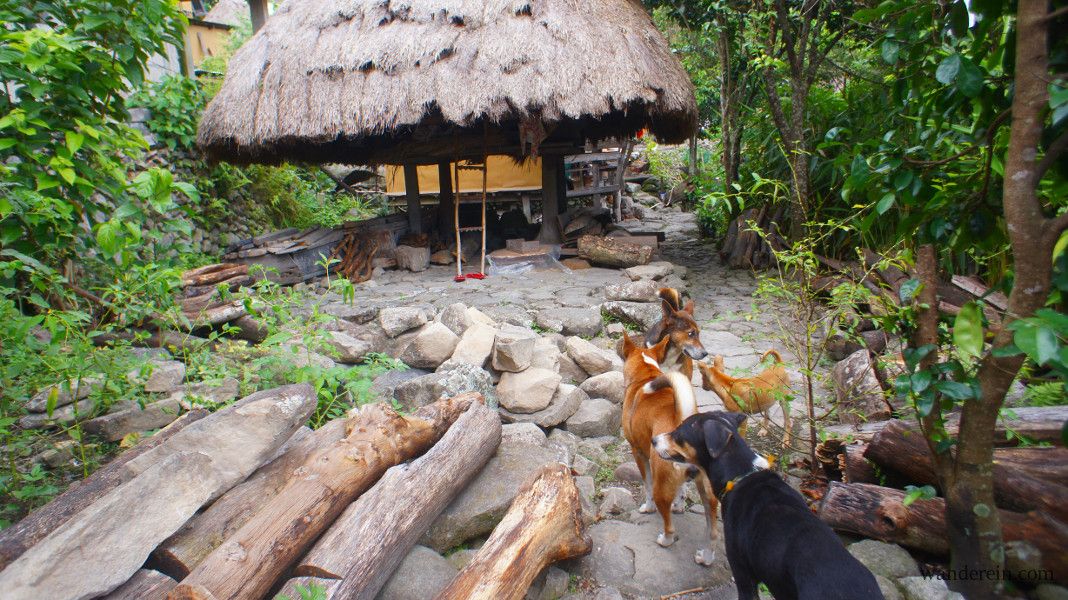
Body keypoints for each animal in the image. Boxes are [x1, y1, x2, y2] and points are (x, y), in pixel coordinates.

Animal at [623, 330, 721, 563]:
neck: (646, 376)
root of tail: (683, 421)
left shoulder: (638, 454)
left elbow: (647, 486)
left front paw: (646, 508)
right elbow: (682, 490)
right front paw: (679, 505)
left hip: (662, 487)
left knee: (669, 526)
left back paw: (665, 540)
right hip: (708, 494)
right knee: (713, 532)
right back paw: (705, 558)